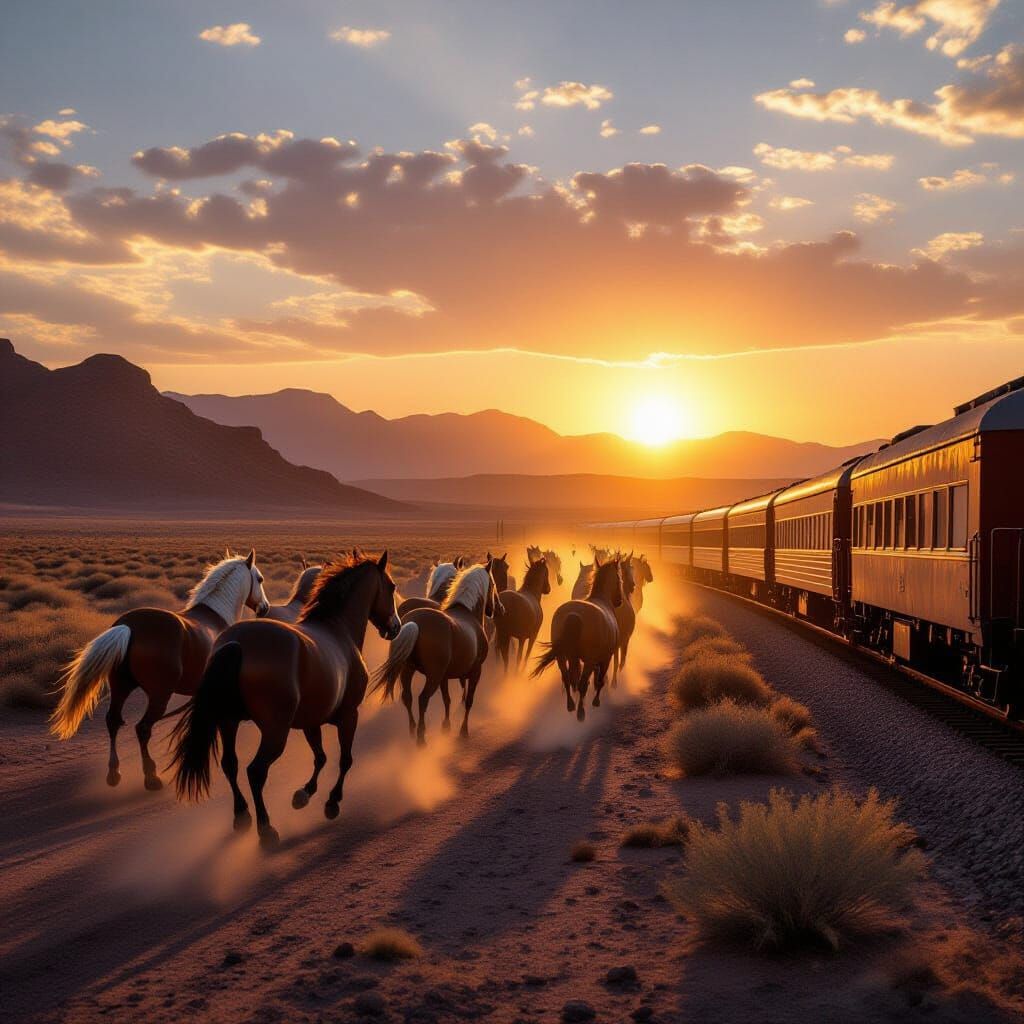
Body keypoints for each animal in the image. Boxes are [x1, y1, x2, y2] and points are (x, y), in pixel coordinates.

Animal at [51, 550, 269, 791]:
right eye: (259, 579)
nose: (265, 607)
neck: (217, 617)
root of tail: (130, 626)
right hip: (158, 695)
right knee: (143, 728)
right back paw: (151, 776)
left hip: (121, 687)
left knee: (113, 721)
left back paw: (114, 773)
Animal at [170, 552, 401, 848]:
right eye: (391, 587)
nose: (394, 627)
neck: (338, 630)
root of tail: (236, 642)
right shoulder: (350, 715)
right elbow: (345, 759)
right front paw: (332, 803)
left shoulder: (311, 722)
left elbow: (321, 757)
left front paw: (303, 795)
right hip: (274, 731)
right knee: (256, 771)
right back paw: (266, 828)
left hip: (228, 721)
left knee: (230, 764)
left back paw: (242, 816)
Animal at [374, 561, 500, 745]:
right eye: (494, 584)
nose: (497, 609)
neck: (468, 613)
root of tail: (415, 623)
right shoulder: (476, 671)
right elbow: (468, 701)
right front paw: (463, 731)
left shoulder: (445, 676)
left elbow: (447, 699)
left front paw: (446, 727)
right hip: (432, 676)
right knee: (422, 699)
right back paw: (421, 737)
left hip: (408, 670)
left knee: (407, 697)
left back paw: (412, 730)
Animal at [532, 556, 623, 721]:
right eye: (620, 578)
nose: (619, 601)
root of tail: (573, 614)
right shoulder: (605, 658)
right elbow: (600, 680)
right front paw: (596, 701)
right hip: (588, 661)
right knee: (581, 684)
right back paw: (581, 712)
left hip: (562, 657)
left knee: (567, 679)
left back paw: (571, 705)